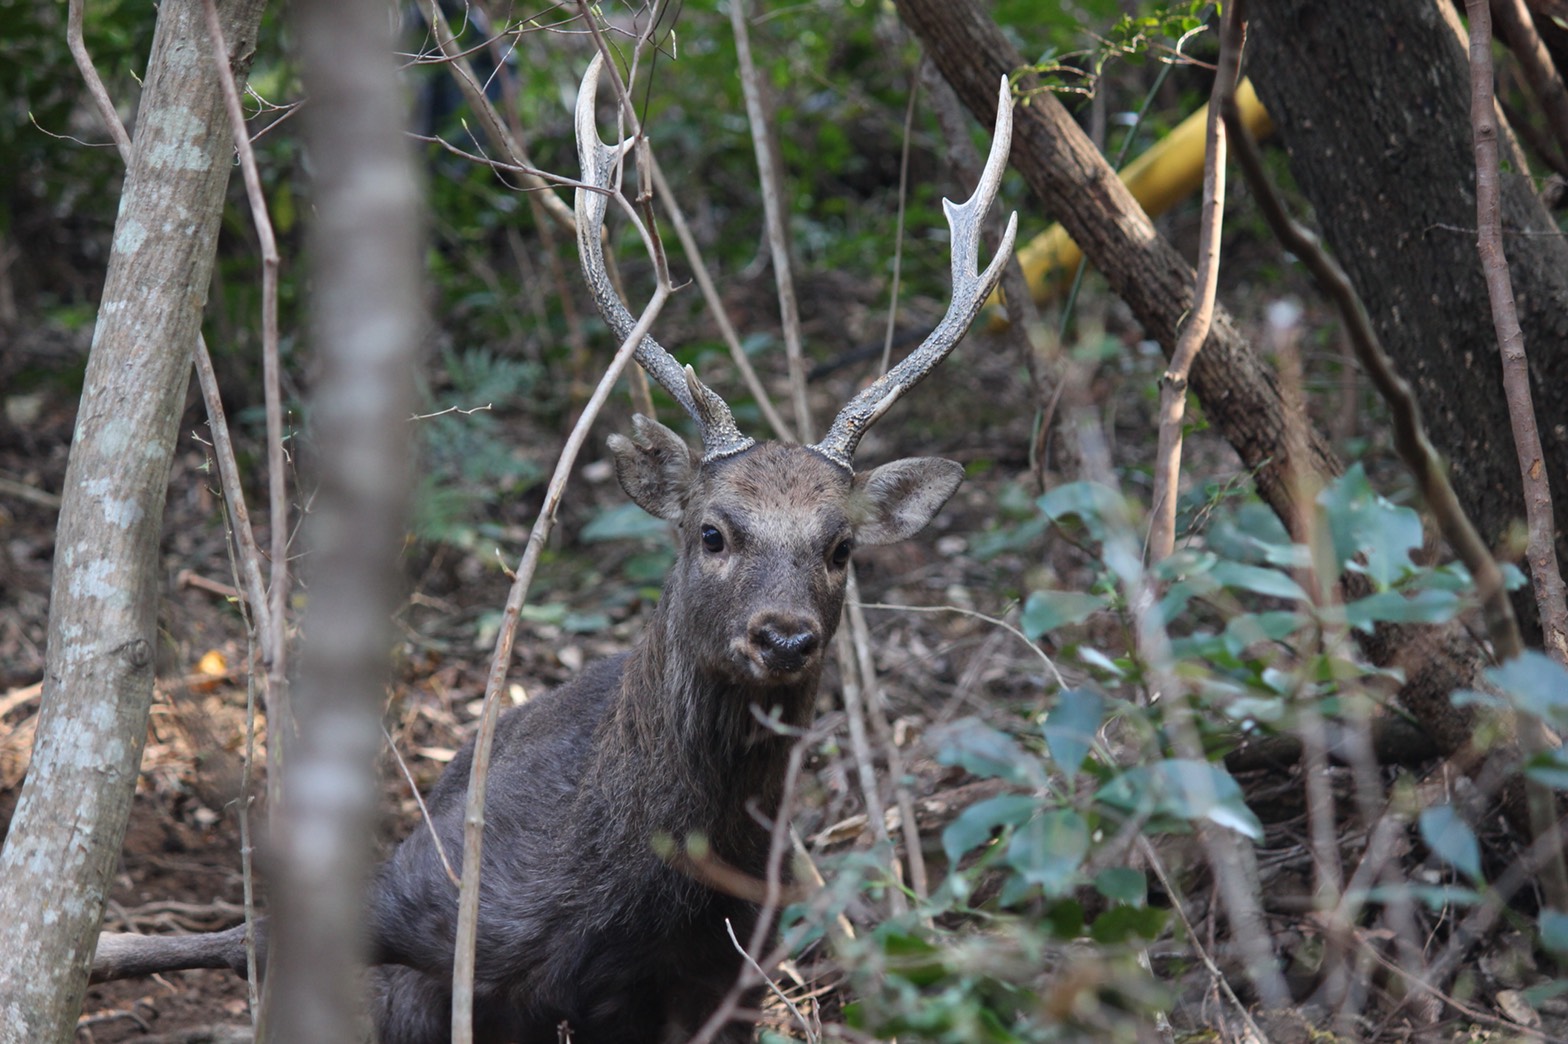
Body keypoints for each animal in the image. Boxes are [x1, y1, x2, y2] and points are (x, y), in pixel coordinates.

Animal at [86, 57, 1017, 1044]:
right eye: (712, 531)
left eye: (840, 547)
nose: (785, 636)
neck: (620, 897)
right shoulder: (420, 893)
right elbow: (261, 948)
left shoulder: (724, 975)